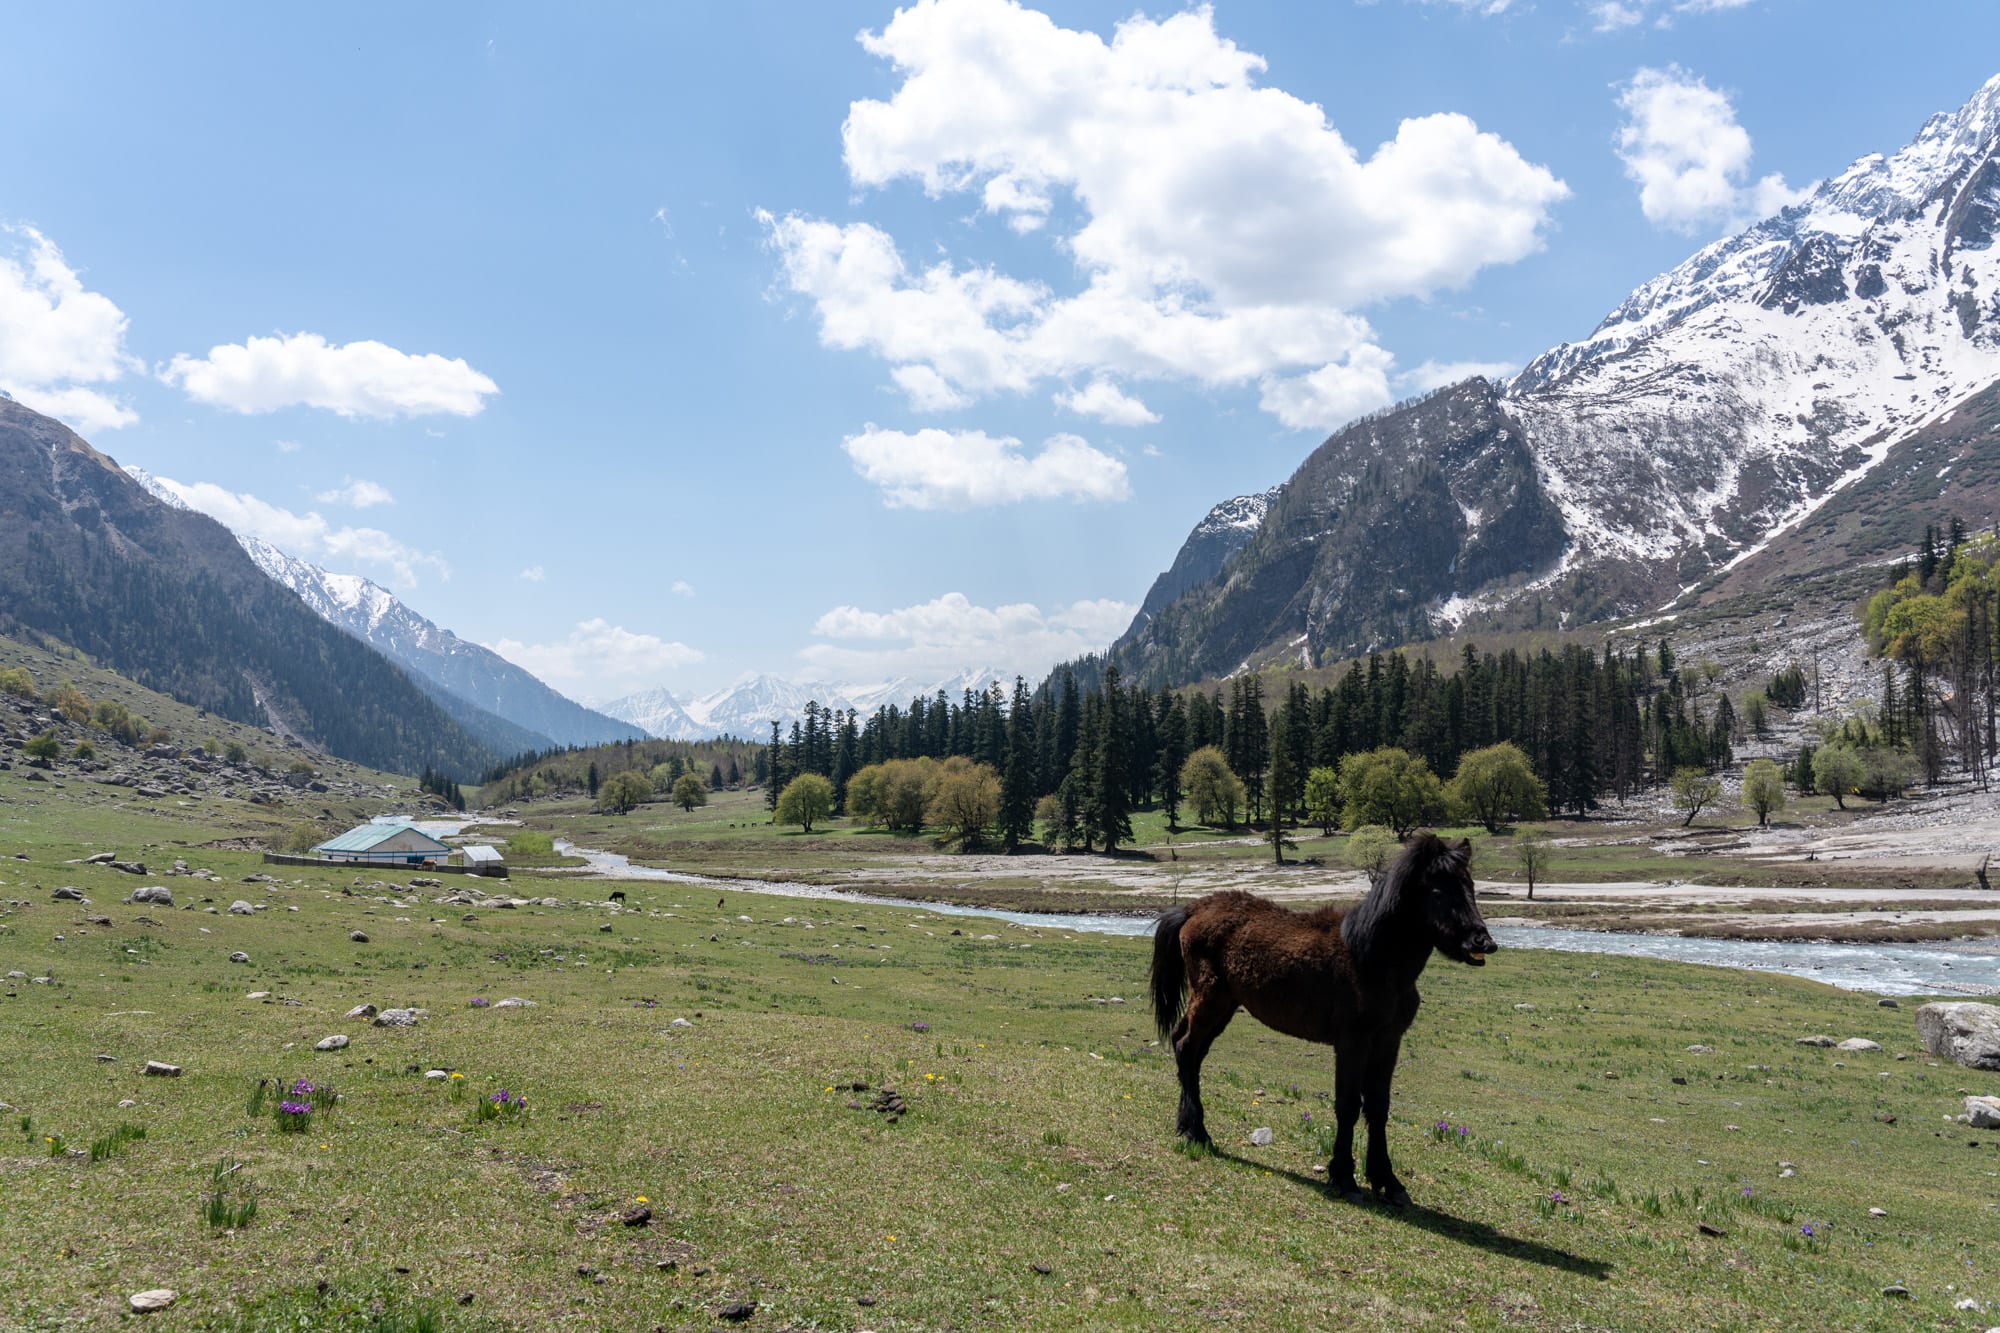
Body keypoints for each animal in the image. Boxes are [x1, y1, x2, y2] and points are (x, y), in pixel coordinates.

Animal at [1152, 824, 1496, 1200]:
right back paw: (1198, 1133)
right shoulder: (1352, 1043)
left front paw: (1387, 1181)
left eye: (1470, 886)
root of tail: (1193, 908)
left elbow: (1378, 1106)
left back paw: (1187, 1125)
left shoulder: (1387, 1042)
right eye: (1438, 890)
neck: (1371, 958)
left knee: (1191, 1052)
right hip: (1210, 999)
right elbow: (1348, 1105)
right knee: (1186, 1048)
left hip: (1224, 1005)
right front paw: (1343, 1175)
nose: (1483, 943)